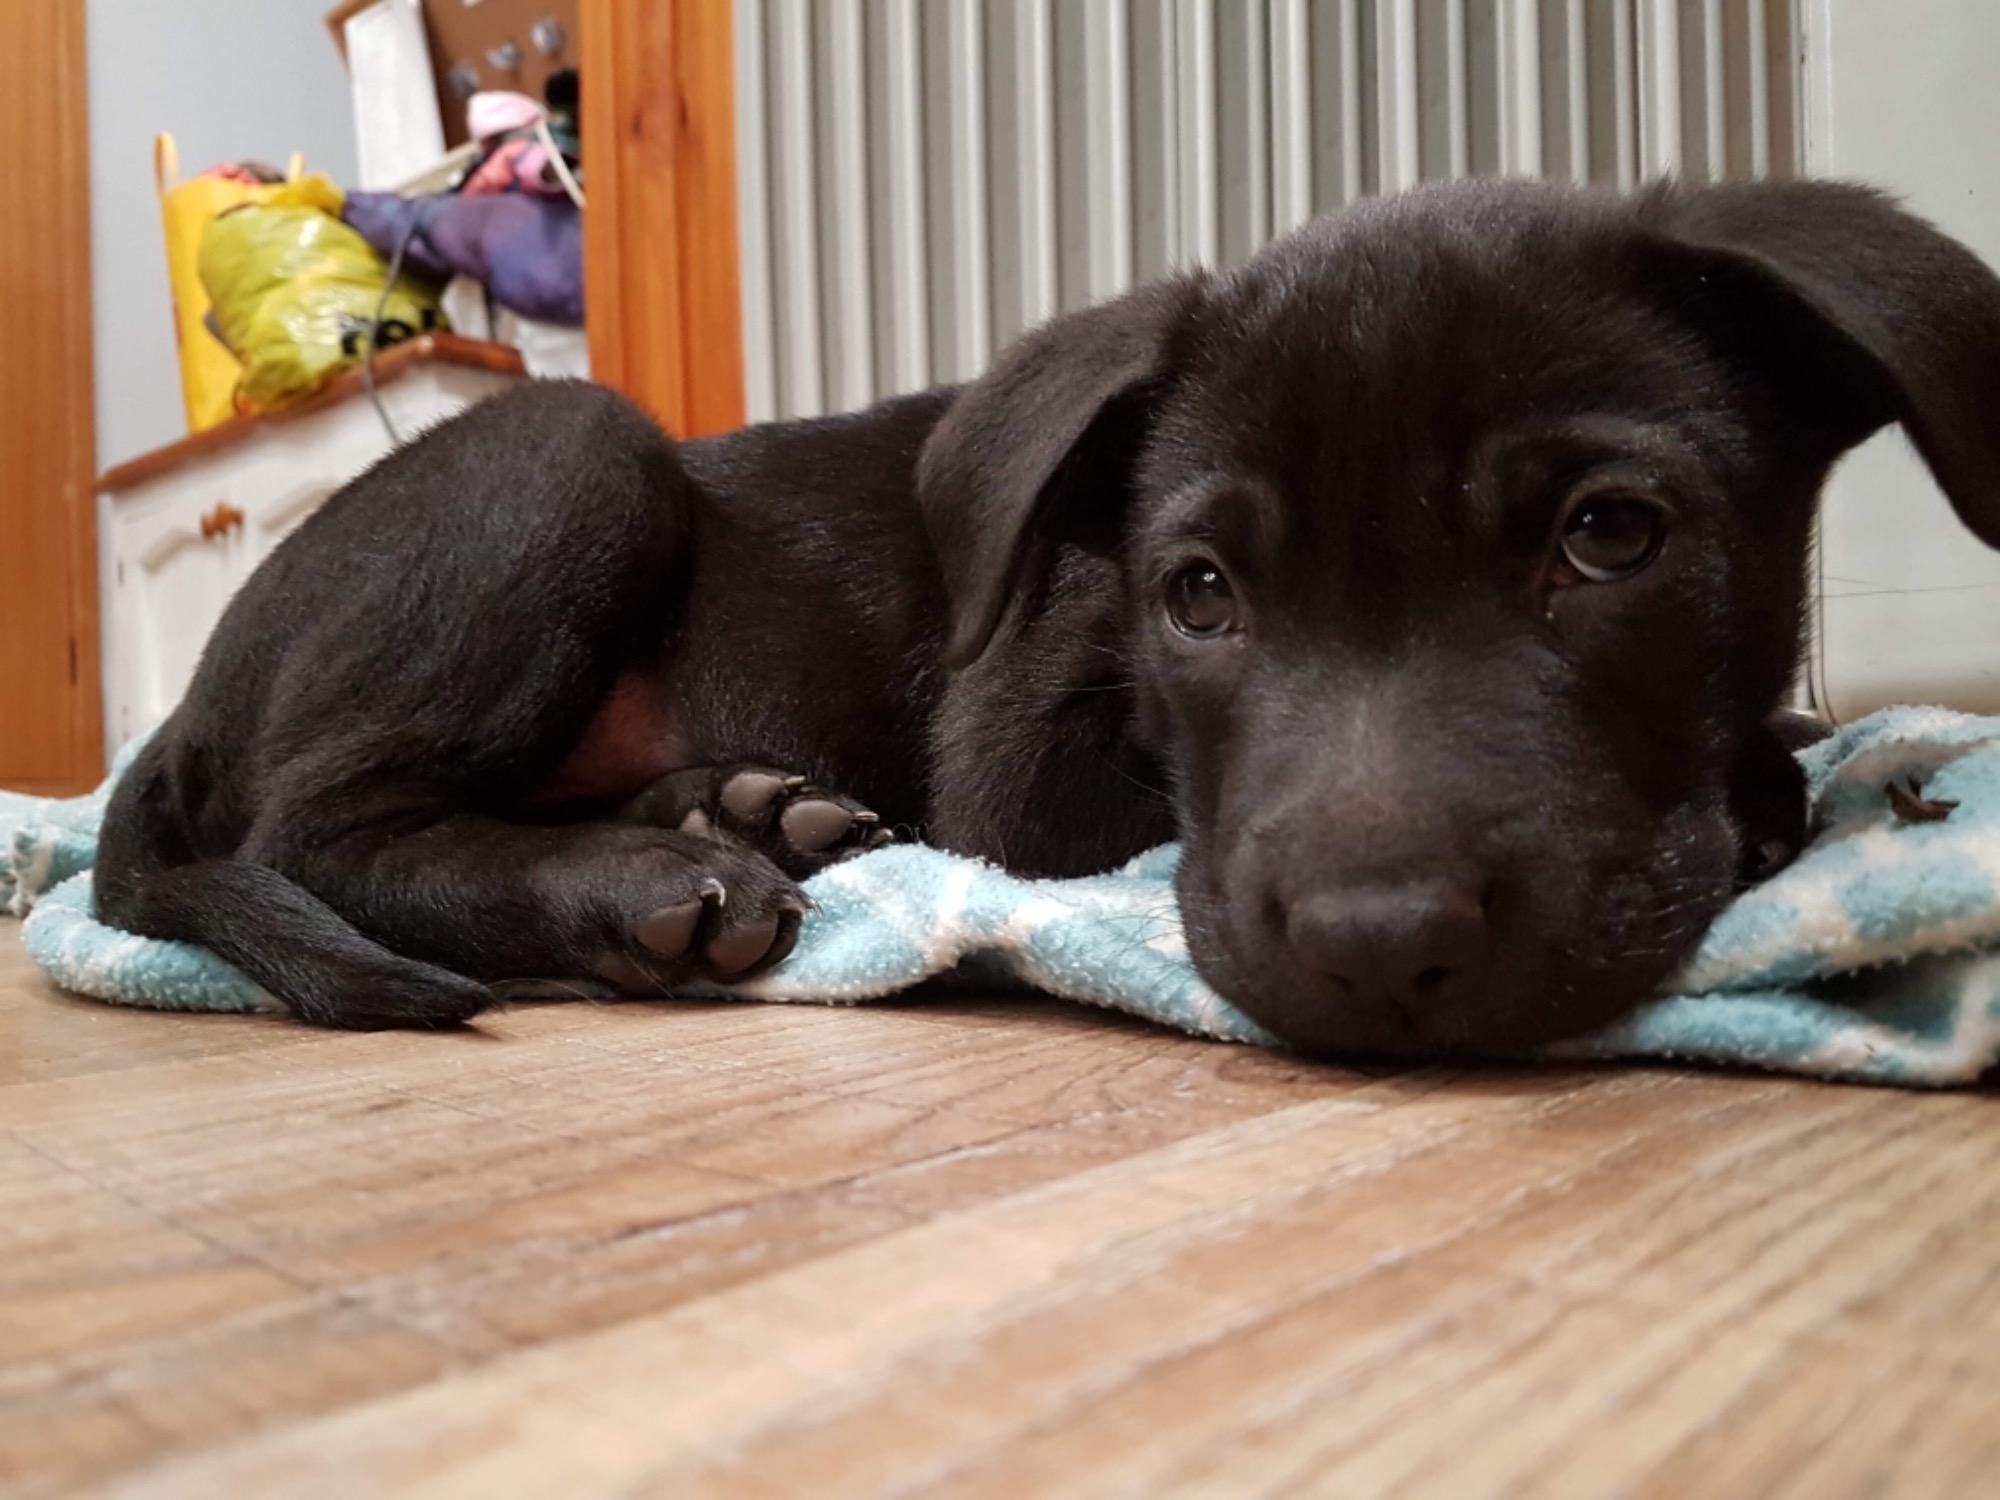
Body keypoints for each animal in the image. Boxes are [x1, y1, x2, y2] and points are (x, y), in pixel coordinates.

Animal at [95, 177, 2000, 1055]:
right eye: (1197, 595)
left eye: (1612, 539)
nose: (1379, 951)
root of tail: (185, 708)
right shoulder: (1018, 763)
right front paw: (1775, 795)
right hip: (568, 449)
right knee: (325, 824)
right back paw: (649, 884)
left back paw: (743, 810)